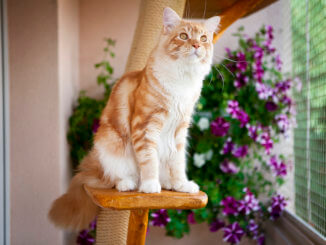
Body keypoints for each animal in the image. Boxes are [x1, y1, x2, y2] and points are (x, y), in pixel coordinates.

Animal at [48, 6, 220, 231]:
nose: (197, 45)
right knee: (115, 177)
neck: (182, 80)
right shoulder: (145, 125)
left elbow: (178, 162)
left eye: (203, 38)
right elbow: (148, 159)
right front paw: (150, 186)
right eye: (183, 36)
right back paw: (129, 183)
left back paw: (167, 183)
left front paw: (182, 184)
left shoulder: (179, 130)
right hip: (109, 143)